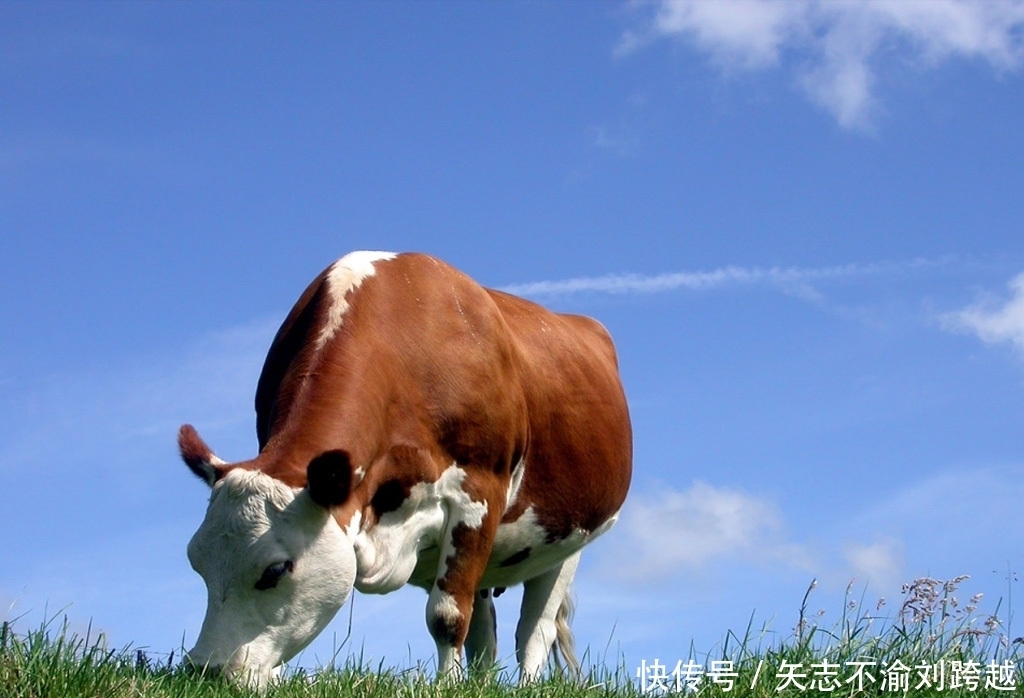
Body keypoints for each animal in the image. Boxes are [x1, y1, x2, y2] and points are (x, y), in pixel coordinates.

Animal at [176, 251, 630, 683]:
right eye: (196, 561)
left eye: (275, 569)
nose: (206, 670)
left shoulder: (478, 495)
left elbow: (448, 617)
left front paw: (447, 686)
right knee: (486, 631)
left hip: (569, 540)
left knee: (533, 631)